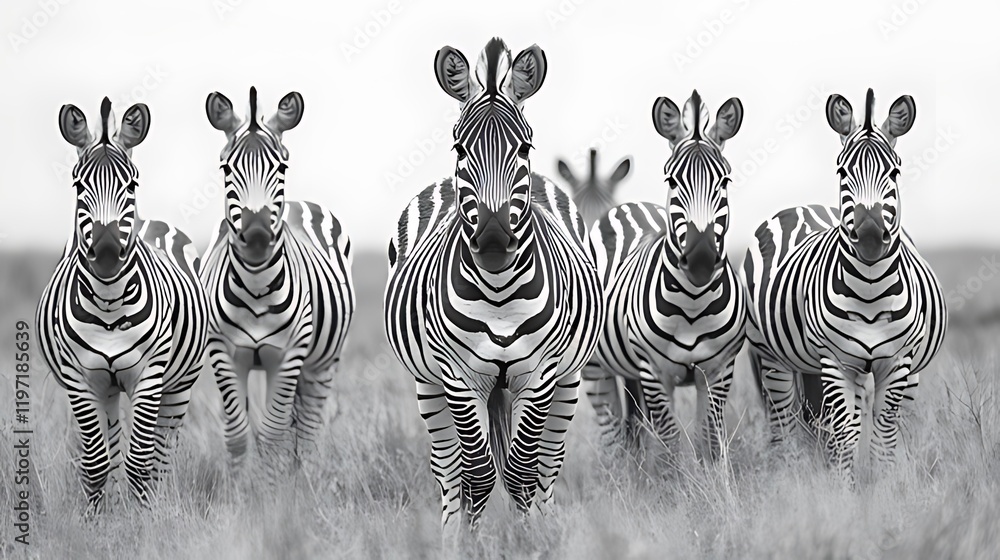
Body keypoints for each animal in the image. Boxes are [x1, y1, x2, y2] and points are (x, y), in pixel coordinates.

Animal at [36, 98, 208, 511]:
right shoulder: (79, 378)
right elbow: (99, 461)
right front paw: (96, 519)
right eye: (78, 185)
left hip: (180, 384)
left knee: (162, 451)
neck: (109, 304)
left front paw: (145, 517)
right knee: (112, 447)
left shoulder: (150, 373)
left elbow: (141, 461)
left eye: (131, 184)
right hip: (106, 389)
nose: (106, 254)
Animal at [200, 87, 355, 469]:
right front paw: (242, 485)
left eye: (282, 167)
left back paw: (307, 477)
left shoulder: (288, 354)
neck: (256, 288)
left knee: (308, 428)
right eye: (226, 167)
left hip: (322, 362)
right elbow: (238, 435)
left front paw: (272, 487)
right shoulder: (223, 352)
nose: (256, 235)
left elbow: (273, 436)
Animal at [384, 38, 603, 530]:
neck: (499, 289)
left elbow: (522, 473)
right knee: (448, 469)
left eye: (524, 147)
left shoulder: (540, 373)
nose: (493, 237)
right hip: (427, 382)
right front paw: (469, 539)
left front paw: (529, 539)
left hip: (568, 379)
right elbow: (478, 475)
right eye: (459, 148)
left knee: (548, 465)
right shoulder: (457, 374)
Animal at [584, 90, 747, 461]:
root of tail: (623, 207)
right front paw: (676, 478)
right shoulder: (654, 372)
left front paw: (710, 477)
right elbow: (671, 442)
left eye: (725, 181)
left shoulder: (719, 371)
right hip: (597, 370)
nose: (700, 259)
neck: (693, 304)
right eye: (672, 181)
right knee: (613, 435)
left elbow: (709, 439)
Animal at [741, 89, 947, 478]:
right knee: (783, 424)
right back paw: (788, 476)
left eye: (894, 171)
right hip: (772, 356)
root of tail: (802, 206)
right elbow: (847, 436)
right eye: (842, 171)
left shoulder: (897, 362)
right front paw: (844, 487)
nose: (869, 237)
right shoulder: (836, 362)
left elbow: (883, 438)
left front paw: (883, 485)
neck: (870, 291)